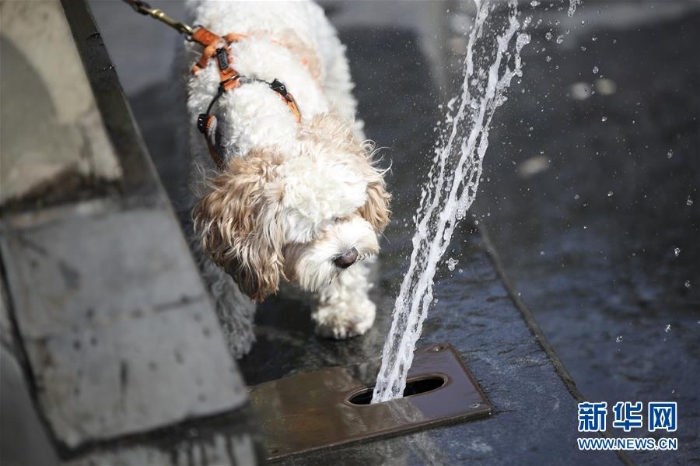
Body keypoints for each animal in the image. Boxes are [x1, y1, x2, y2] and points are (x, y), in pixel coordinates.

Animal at [179, 0, 388, 358]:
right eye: (306, 236)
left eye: (344, 215)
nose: (347, 257)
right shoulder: (216, 216)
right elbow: (224, 282)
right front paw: (229, 336)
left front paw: (344, 311)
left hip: (335, 77)